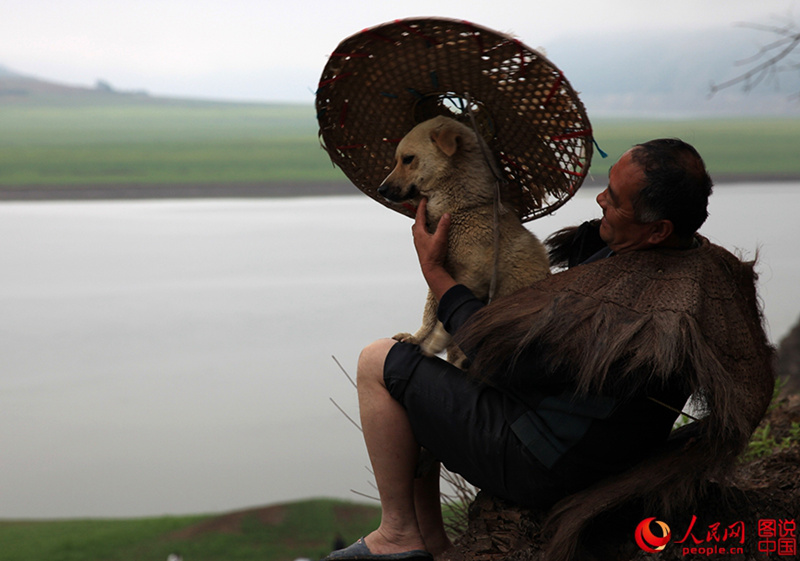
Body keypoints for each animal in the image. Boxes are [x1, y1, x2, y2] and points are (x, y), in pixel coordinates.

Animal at [376, 116, 552, 366]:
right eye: (397, 160)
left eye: (408, 159)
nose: (381, 189)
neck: (462, 208)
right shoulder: (441, 271)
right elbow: (430, 313)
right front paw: (417, 338)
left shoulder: (475, 274)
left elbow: (447, 315)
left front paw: (435, 342)